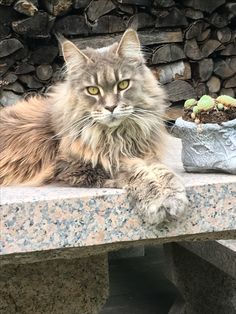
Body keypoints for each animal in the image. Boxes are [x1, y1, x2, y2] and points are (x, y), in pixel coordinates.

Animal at [0, 29, 188, 224]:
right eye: (93, 90)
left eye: (123, 84)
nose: (111, 107)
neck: (117, 136)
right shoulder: (79, 166)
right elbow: (135, 170)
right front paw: (157, 200)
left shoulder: (145, 152)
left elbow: (161, 170)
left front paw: (173, 195)